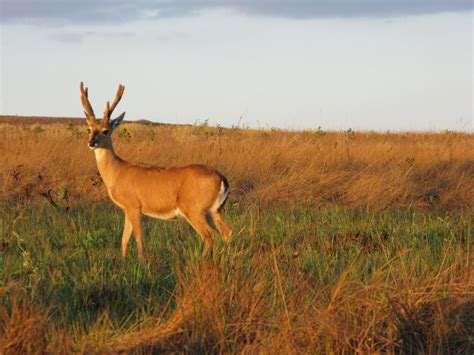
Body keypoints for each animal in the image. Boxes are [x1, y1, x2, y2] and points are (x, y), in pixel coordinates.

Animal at [81, 82, 233, 260]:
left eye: (106, 130)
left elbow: (138, 238)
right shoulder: (127, 209)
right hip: (215, 210)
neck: (116, 172)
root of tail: (222, 179)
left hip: (194, 208)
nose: (92, 142)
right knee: (227, 233)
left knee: (209, 236)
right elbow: (124, 239)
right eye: (89, 128)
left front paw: (141, 262)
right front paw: (123, 261)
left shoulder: (134, 206)